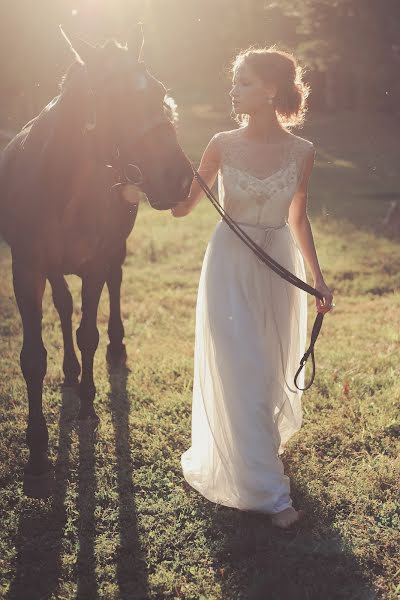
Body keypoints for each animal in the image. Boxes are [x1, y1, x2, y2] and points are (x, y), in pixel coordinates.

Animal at [0, 27, 194, 496]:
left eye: (158, 92)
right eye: (113, 99)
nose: (180, 178)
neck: (62, 186)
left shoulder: (93, 263)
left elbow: (88, 332)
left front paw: (88, 405)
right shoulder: (28, 269)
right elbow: (34, 357)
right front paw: (37, 456)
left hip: (114, 252)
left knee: (115, 285)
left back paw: (114, 348)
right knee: (64, 305)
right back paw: (70, 372)